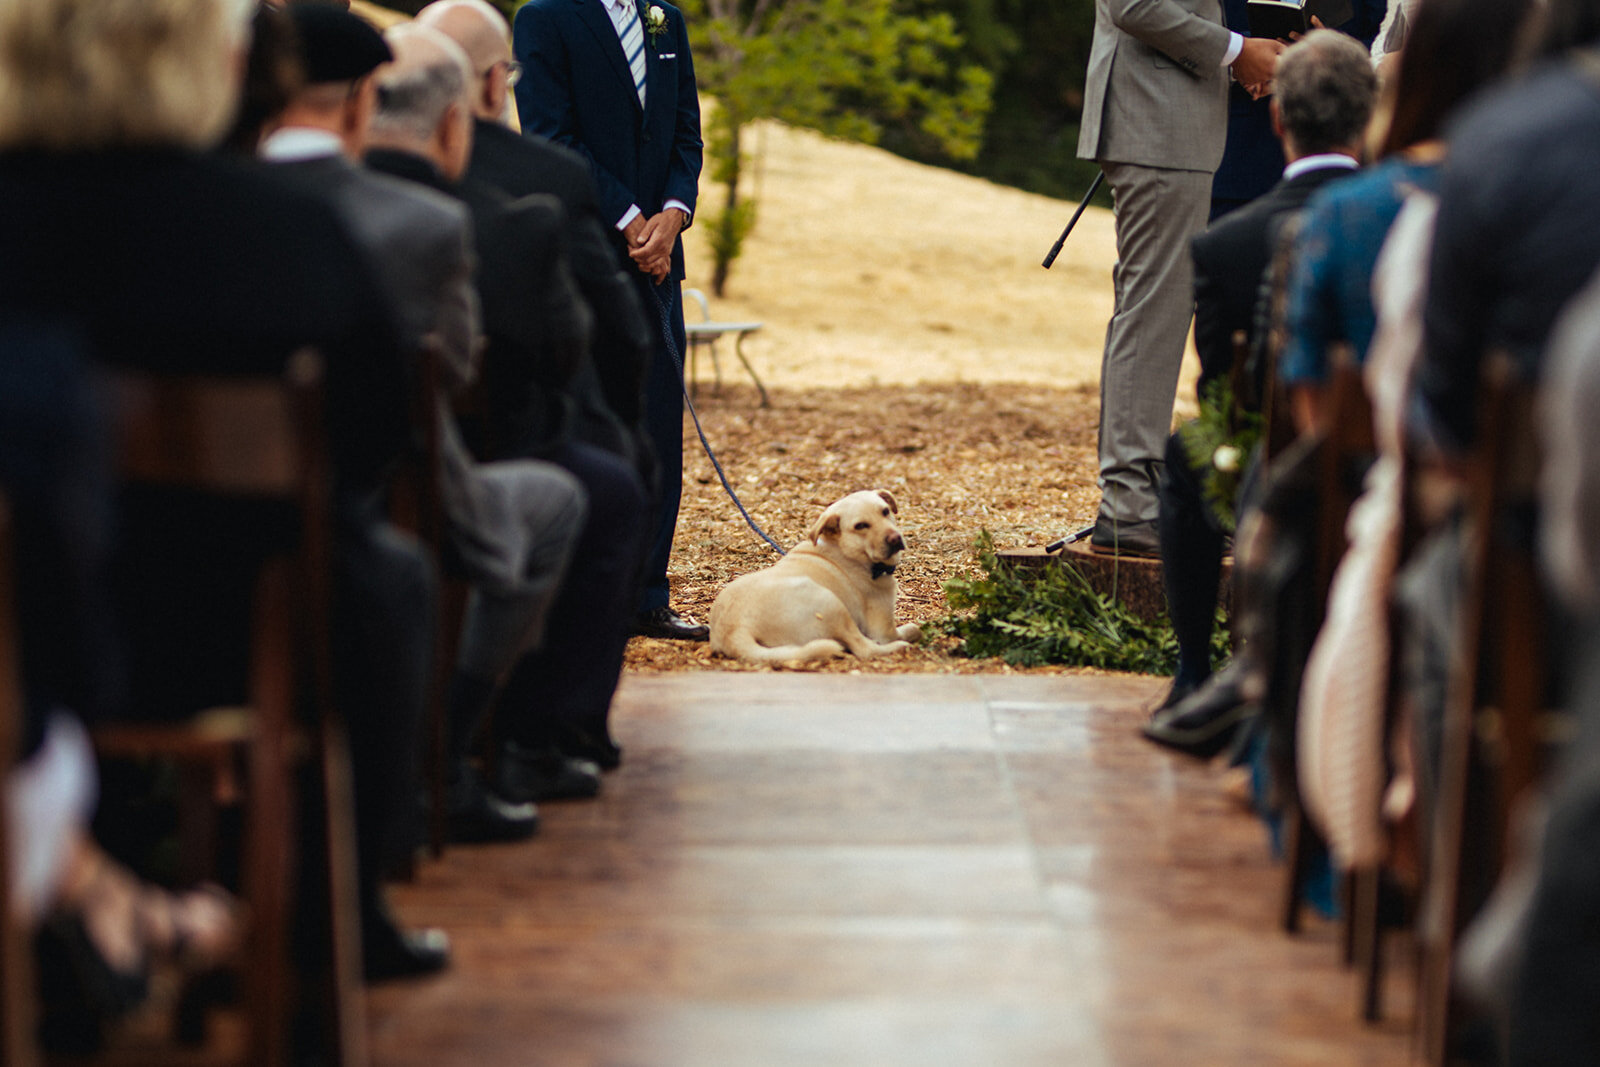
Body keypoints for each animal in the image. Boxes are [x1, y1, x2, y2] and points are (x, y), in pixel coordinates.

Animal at [713, 489, 928, 659]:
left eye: (885, 511)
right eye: (860, 526)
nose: (895, 539)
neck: (847, 553)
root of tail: (734, 630)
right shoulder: (883, 631)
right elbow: (912, 629)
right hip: (830, 602)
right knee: (864, 649)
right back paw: (899, 647)